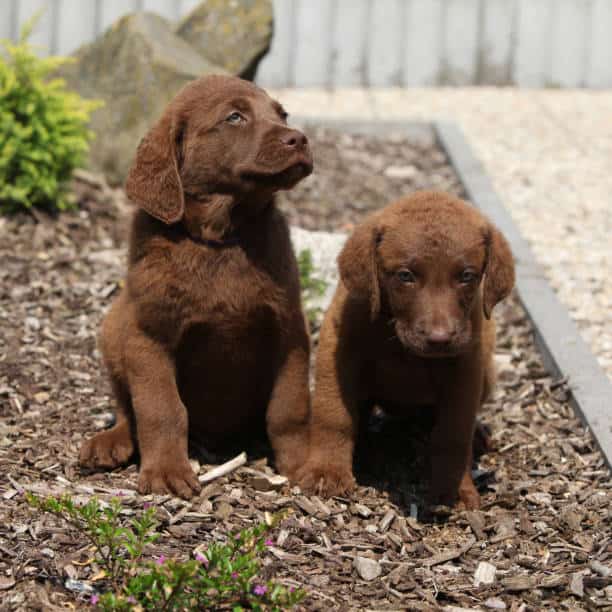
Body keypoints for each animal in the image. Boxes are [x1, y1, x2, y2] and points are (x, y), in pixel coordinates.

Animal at [79, 74, 314, 500]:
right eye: (235, 117)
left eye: (282, 114)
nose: (300, 139)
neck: (220, 239)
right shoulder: (149, 338)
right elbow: (161, 409)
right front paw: (166, 472)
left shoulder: (289, 331)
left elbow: (289, 408)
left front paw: (302, 465)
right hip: (114, 325)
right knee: (126, 406)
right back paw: (109, 442)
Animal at [298, 192, 512, 512]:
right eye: (405, 275)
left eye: (466, 276)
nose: (439, 338)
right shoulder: (337, 345)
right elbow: (333, 414)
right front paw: (327, 473)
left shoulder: (465, 369)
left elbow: (453, 436)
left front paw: (452, 491)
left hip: (486, 373)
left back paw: (478, 435)